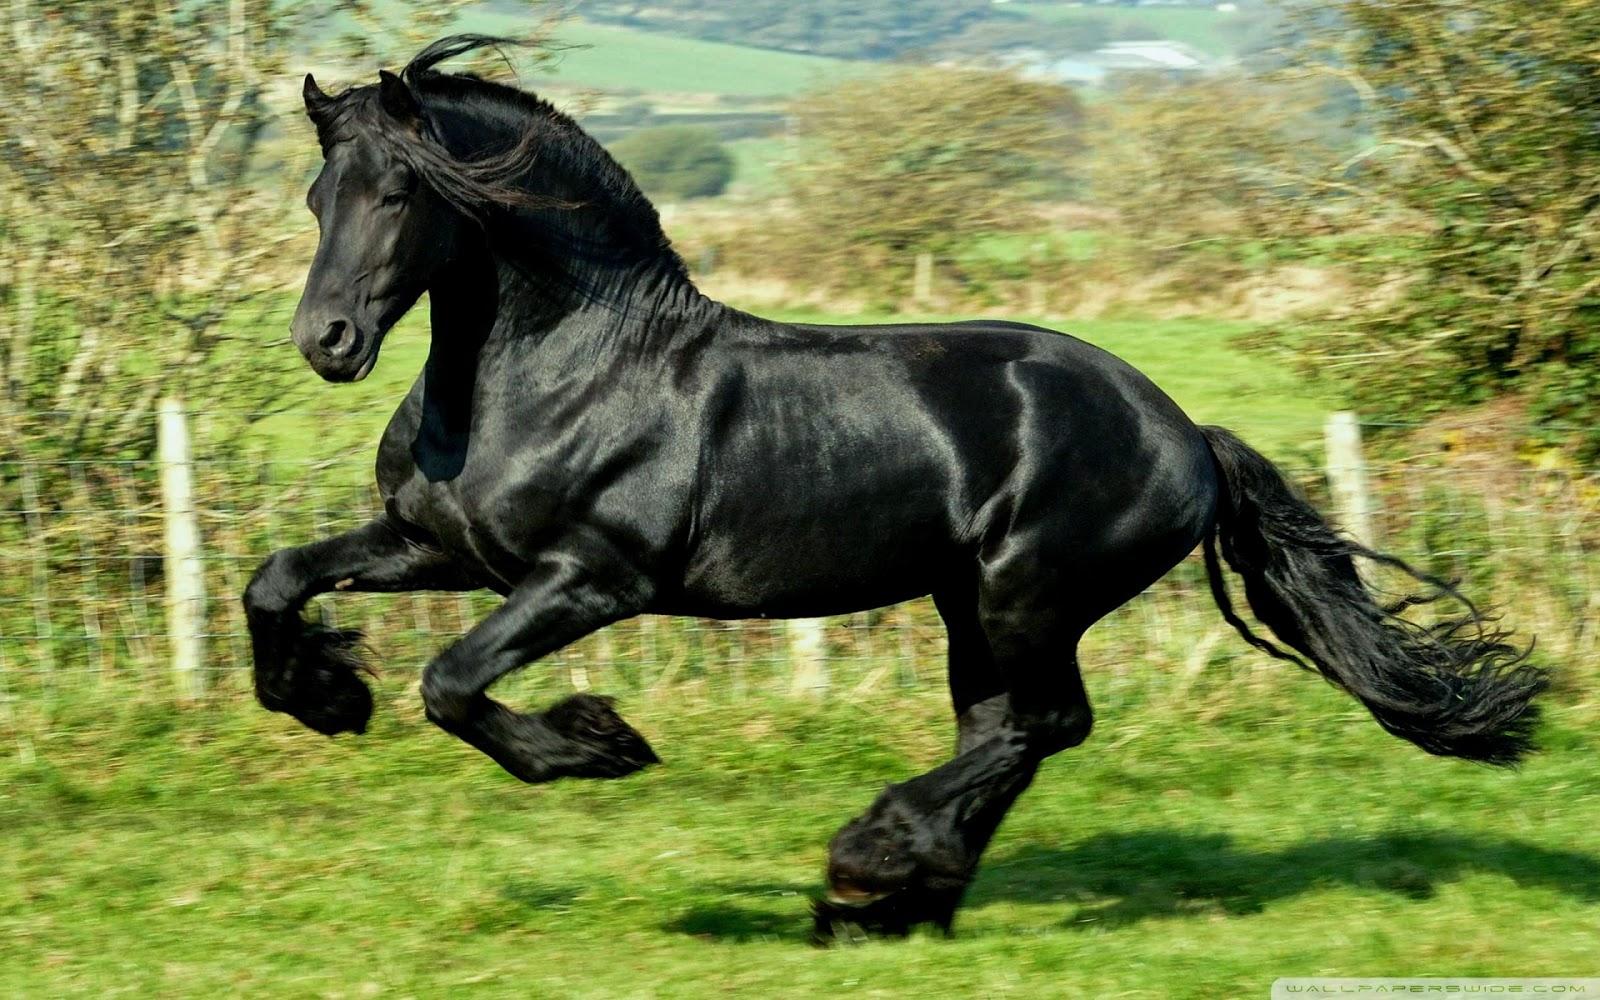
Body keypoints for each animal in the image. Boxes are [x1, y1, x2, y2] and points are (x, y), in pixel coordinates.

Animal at [244, 35, 1549, 941]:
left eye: (401, 195)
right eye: (315, 197)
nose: (328, 342)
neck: (563, 366)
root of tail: (1183, 429)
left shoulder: (591, 579)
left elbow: (453, 682)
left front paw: (600, 745)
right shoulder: (442, 546)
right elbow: (277, 581)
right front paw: (323, 696)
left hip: (1029, 591)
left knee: (1037, 724)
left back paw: (868, 864)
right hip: (968, 601)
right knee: (1007, 732)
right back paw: (897, 902)